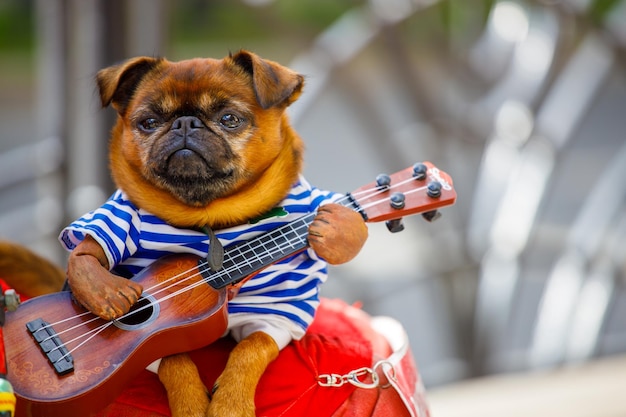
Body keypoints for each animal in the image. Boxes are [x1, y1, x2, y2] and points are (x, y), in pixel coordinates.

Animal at [54, 52, 366, 416]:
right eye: (148, 122)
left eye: (229, 119)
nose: (185, 123)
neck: (211, 216)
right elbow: (172, 358)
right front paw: (190, 402)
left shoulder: (275, 315)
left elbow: (252, 348)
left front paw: (231, 403)